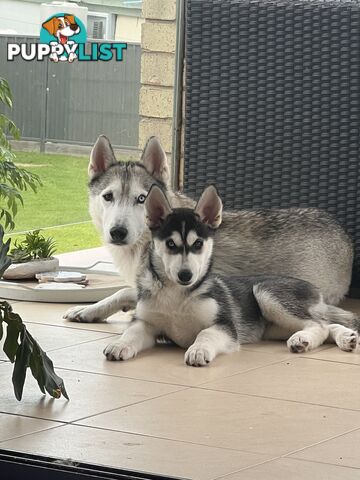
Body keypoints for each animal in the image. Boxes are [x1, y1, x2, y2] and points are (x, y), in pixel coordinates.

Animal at [63, 135, 352, 324]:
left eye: (141, 199)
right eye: (108, 197)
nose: (117, 232)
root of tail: (344, 237)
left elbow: (123, 291)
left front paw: (92, 309)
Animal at [103, 186, 358, 366]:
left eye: (198, 244)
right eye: (170, 244)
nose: (186, 275)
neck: (178, 295)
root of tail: (314, 288)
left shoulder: (224, 326)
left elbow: (205, 333)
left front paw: (198, 350)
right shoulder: (146, 323)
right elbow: (131, 332)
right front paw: (119, 344)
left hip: (266, 293)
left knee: (319, 325)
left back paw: (304, 340)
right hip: (274, 326)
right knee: (327, 324)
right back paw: (345, 337)